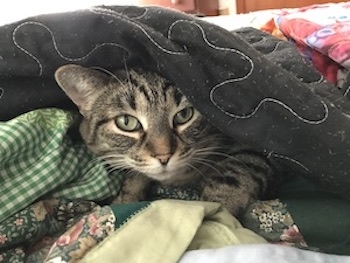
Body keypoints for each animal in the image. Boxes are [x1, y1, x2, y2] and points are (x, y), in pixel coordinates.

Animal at [54, 64, 278, 217]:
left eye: (185, 115)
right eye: (126, 122)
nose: (164, 156)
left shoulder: (251, 140)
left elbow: (234, 174)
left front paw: (220, 214)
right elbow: (134, 178)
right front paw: (124, 198)